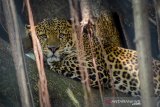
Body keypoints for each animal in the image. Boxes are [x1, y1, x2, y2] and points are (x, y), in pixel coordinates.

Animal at [25, 11, 160, 97]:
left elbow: (67, 60)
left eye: (61, 35)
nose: (53, 48)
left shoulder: (96, 68)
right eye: (43, 36)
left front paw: (51, 62)